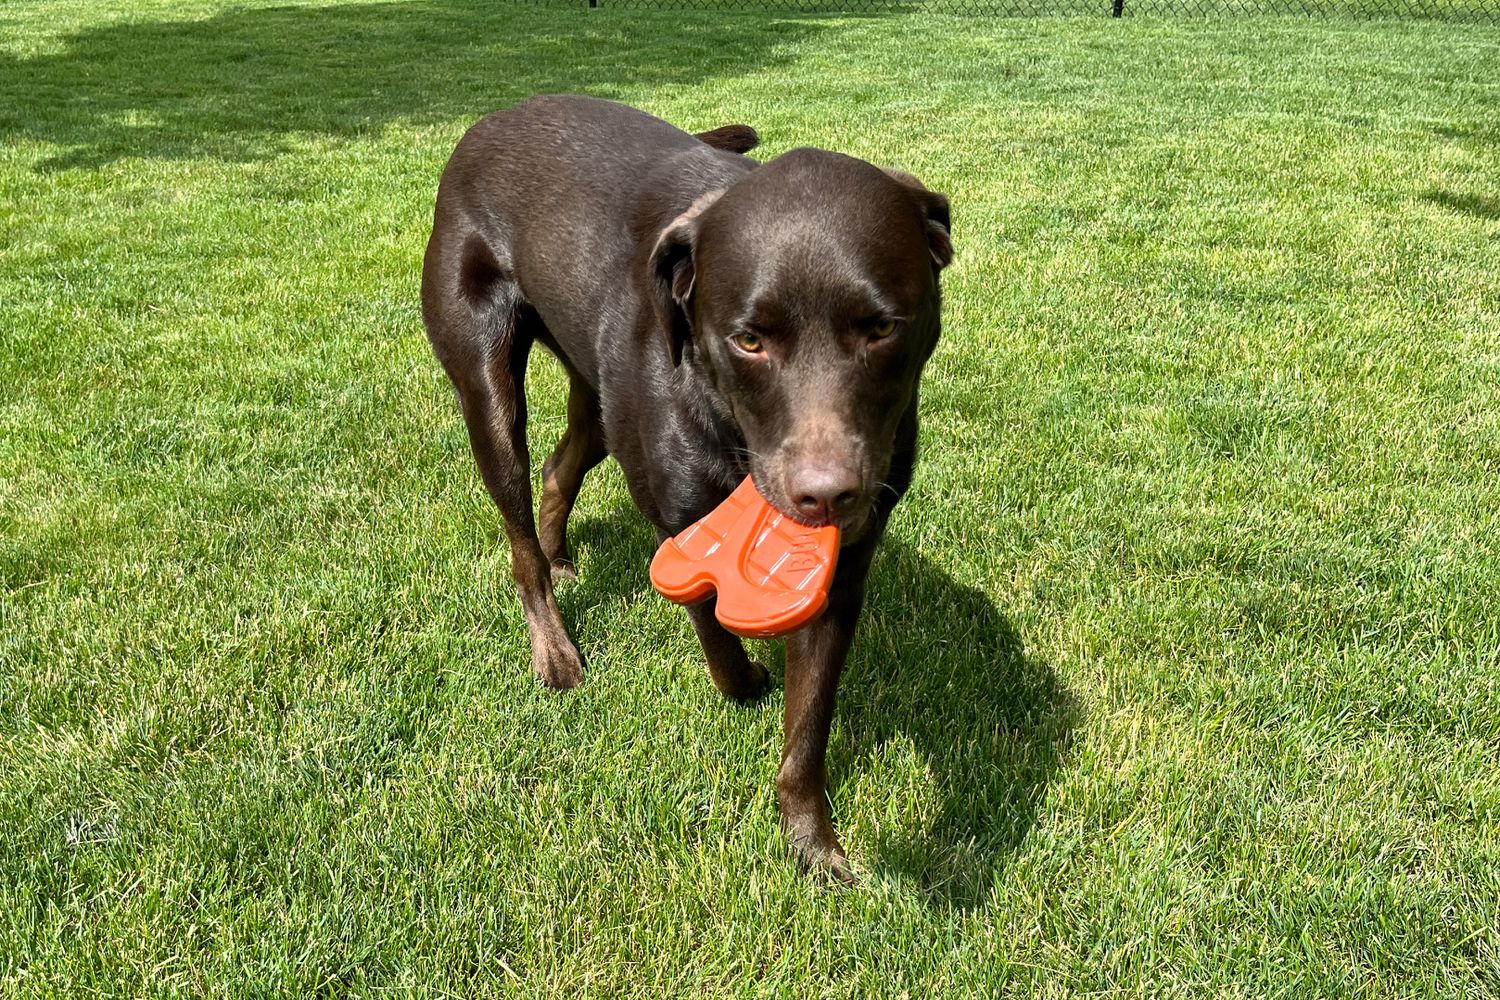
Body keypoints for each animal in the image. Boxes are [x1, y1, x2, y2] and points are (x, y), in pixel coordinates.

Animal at [423, 93, 954, 875]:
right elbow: (720, 647)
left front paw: (813, 846)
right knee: (517, 523)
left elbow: (808, 727)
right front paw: (751, 684)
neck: (728, 426)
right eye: (750, 340)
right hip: (485, 380)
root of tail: (492, 119)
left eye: (883, 327)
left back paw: (560, 552)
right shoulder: (680, 534)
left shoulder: (844, 573)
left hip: (594, 397)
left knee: (559, 467)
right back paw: (553, 646)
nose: (826, 496)